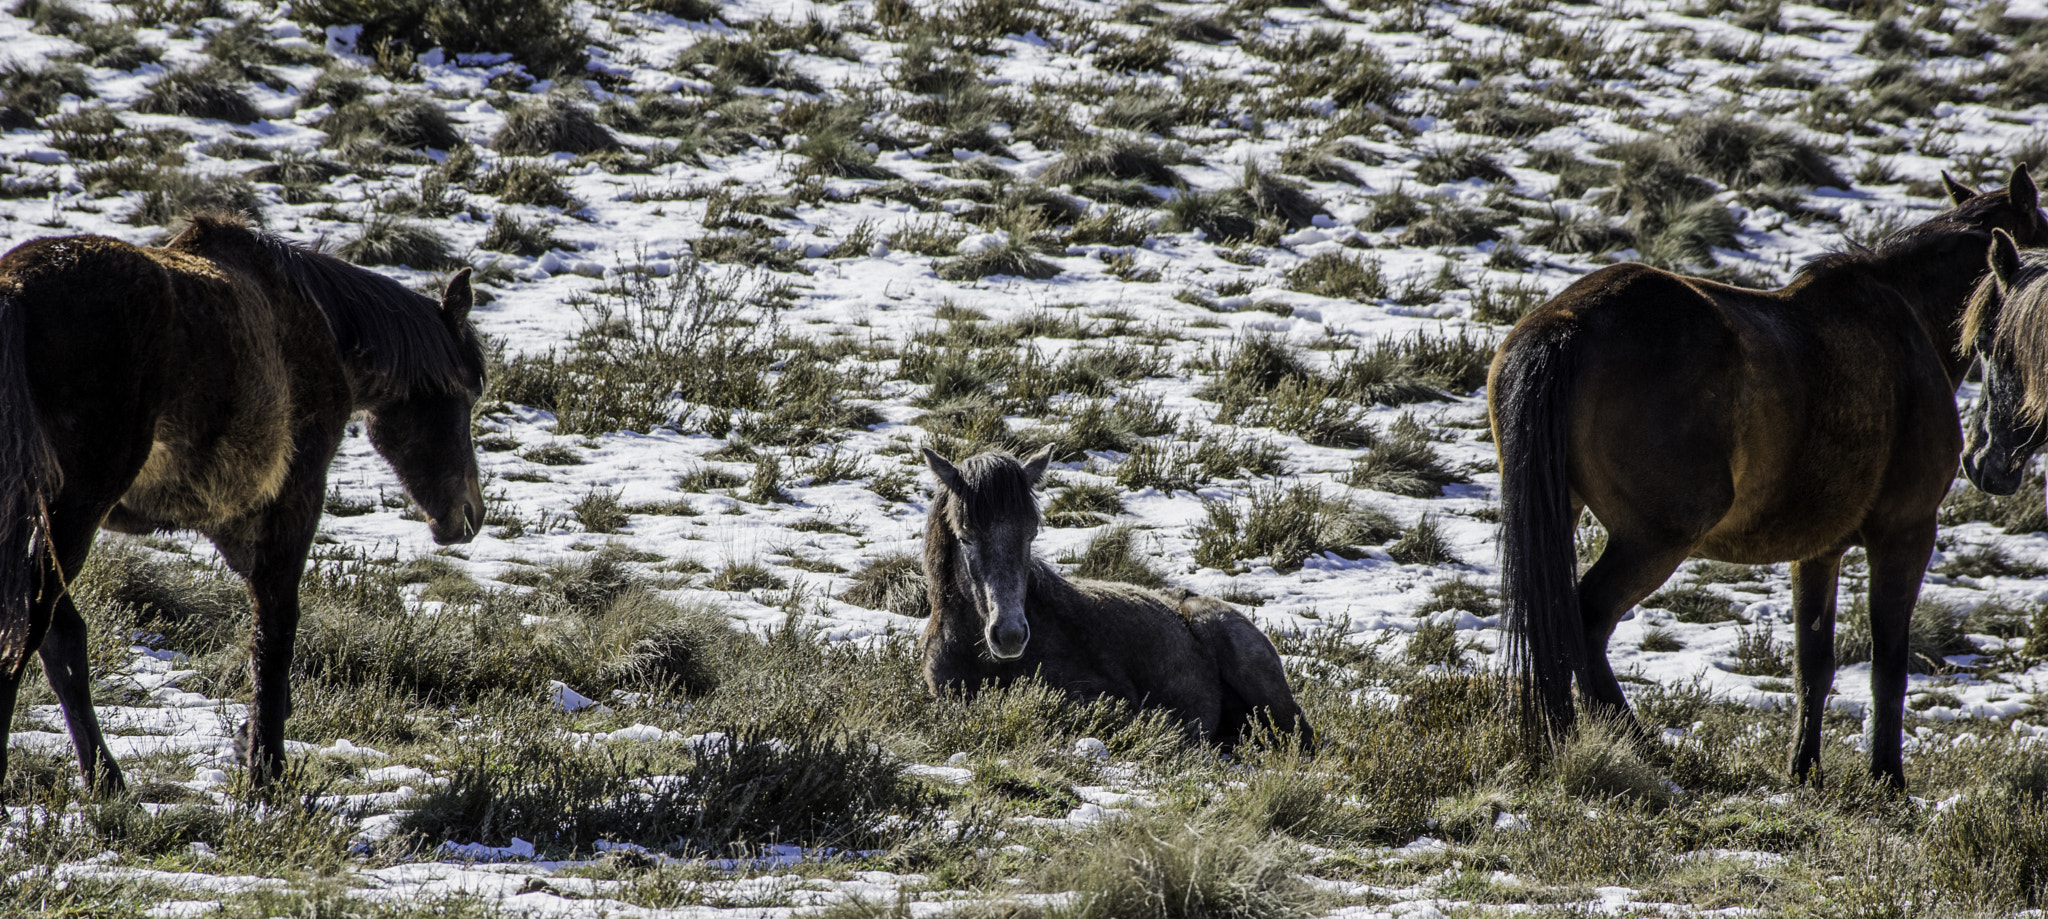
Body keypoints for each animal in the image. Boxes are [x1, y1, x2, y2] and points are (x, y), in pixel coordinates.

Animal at [0, 209, 483, 785]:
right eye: (467, 393)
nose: (470, 515)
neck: (321, 327)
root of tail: (16, 292)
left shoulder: (233, 521)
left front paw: (249, 740)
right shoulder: (294, 499)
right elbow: (276, 630)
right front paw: (266, 765)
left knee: (58, 635)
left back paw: (105, 778)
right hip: (72, 512)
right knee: (32, 632)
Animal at [1490, 166, 2048, 785]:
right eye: (1994, 340)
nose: (1988, 464)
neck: (1906, 322)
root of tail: (1563, 324)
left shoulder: (1818, 550)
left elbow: (1814, 665)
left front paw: (1804, 771)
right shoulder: (1904, 534)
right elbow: (1888, 666)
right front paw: (1887, 781)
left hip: (1564, 512)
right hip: (1653, 540)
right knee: (1586, 618)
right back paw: (1639, 748)